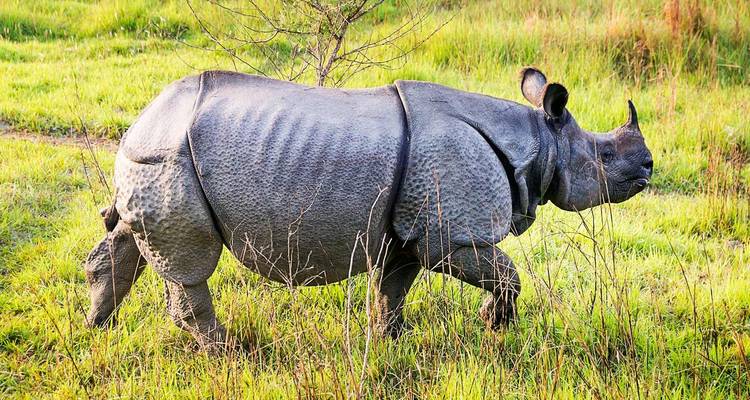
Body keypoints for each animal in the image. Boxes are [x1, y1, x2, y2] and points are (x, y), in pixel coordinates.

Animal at [84, 67, 653, 349]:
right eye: (604, 157)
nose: (649, 166)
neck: (538, 142)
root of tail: (142, 119)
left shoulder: (409, 230)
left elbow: (392, 290)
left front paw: (390, 341)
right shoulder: (451, 236)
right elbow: (507, 275)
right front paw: (495, 326)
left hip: (156, 158)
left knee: (132, 239)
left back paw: (97, 327)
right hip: (171, 158)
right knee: (190, 265)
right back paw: (229, 352)